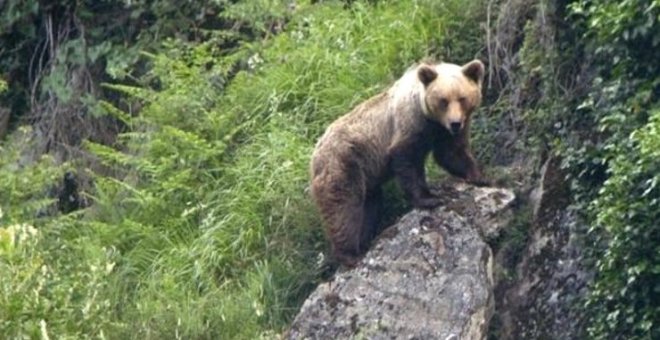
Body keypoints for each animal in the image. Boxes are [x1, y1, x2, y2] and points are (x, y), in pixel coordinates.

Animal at [310, 59, 490, 266]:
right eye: (443, 100)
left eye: (462, 98)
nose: (455, 123)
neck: (430, 119)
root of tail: (314, 154)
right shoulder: (408, 125)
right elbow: (408, 162)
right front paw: (430, 198)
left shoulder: (443, 132)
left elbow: (451, 153)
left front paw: (480, 176)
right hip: (344, 163)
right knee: (344, 208)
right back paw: (350, 254)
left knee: (370, 205)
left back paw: (364, 241)